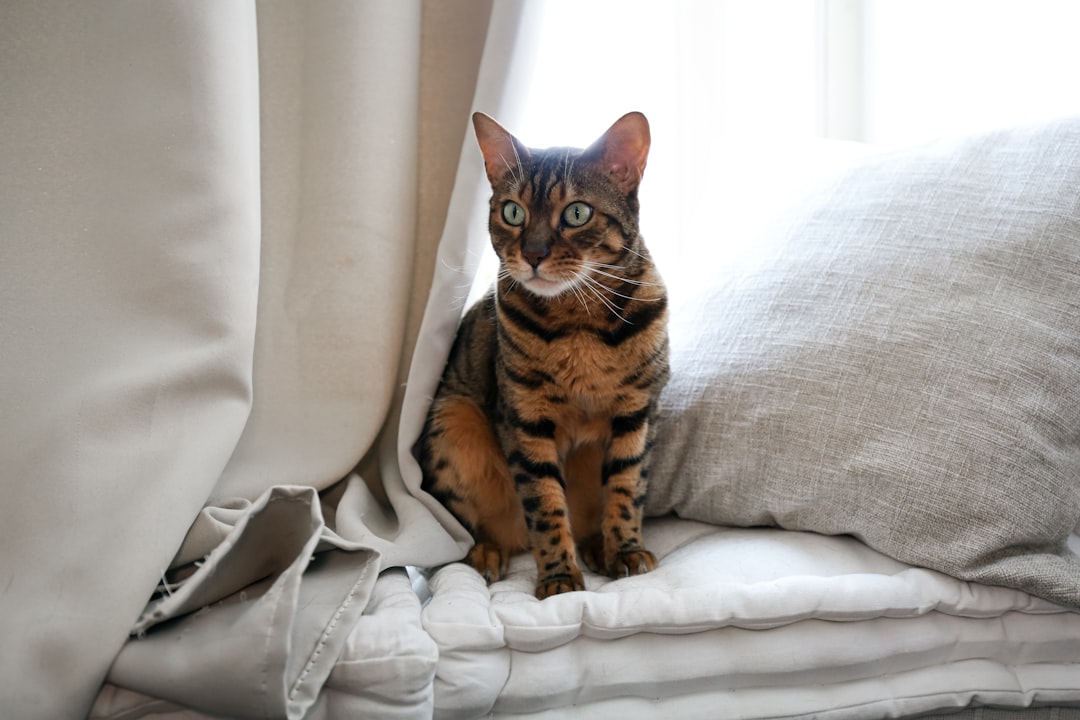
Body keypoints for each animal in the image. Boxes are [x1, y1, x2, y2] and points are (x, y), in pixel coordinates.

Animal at [419, 110, 665, 600]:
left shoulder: (638, 412)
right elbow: (545, 505)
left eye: (577, 213)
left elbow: (627, 488)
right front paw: (558, 577)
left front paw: (626, 550)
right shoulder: (525, 418)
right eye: (512, 211)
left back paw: (597, 547)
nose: (532, 253)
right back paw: (485, 553)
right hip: (451, 419)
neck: (580, 324)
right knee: (468, 529)